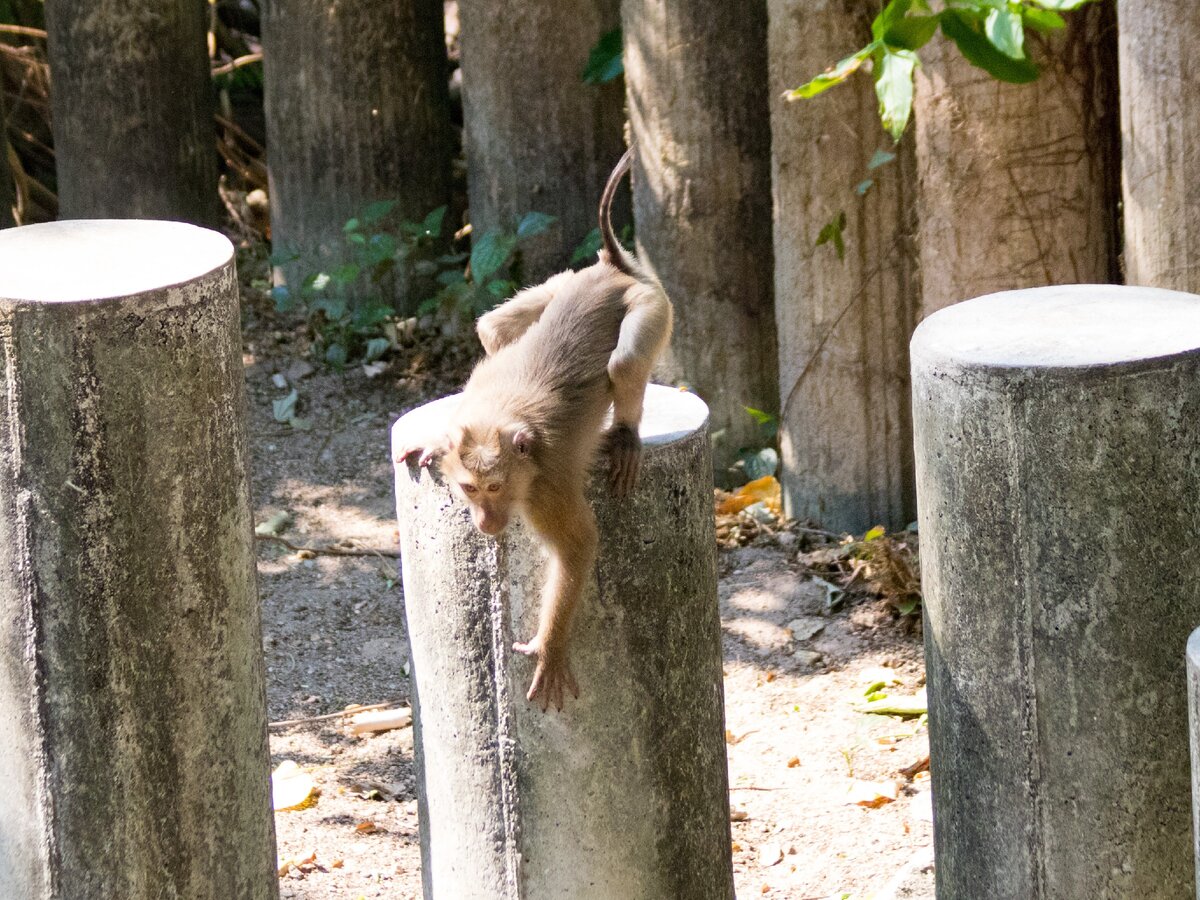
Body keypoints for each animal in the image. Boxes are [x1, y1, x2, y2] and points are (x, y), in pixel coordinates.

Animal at [396, 148, 672, 710]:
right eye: (469, 489)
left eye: (495, 487)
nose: (485, 522)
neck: (499, 419)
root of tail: (612, 271)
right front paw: (432, 439)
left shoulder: (544, 489)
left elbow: (578, 545)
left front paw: (550, 644)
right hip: (565, 280)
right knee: (492, 327)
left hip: (652, 304)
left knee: (625, 363)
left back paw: (626, 434)